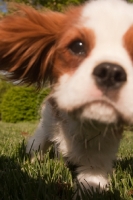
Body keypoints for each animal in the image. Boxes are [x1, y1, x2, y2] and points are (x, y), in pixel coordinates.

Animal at [0, 0, 133, 191]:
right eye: (77, 46)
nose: (110, 72)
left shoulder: (101, 150)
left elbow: (92, 176)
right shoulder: (49, 123)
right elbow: (38, 145)